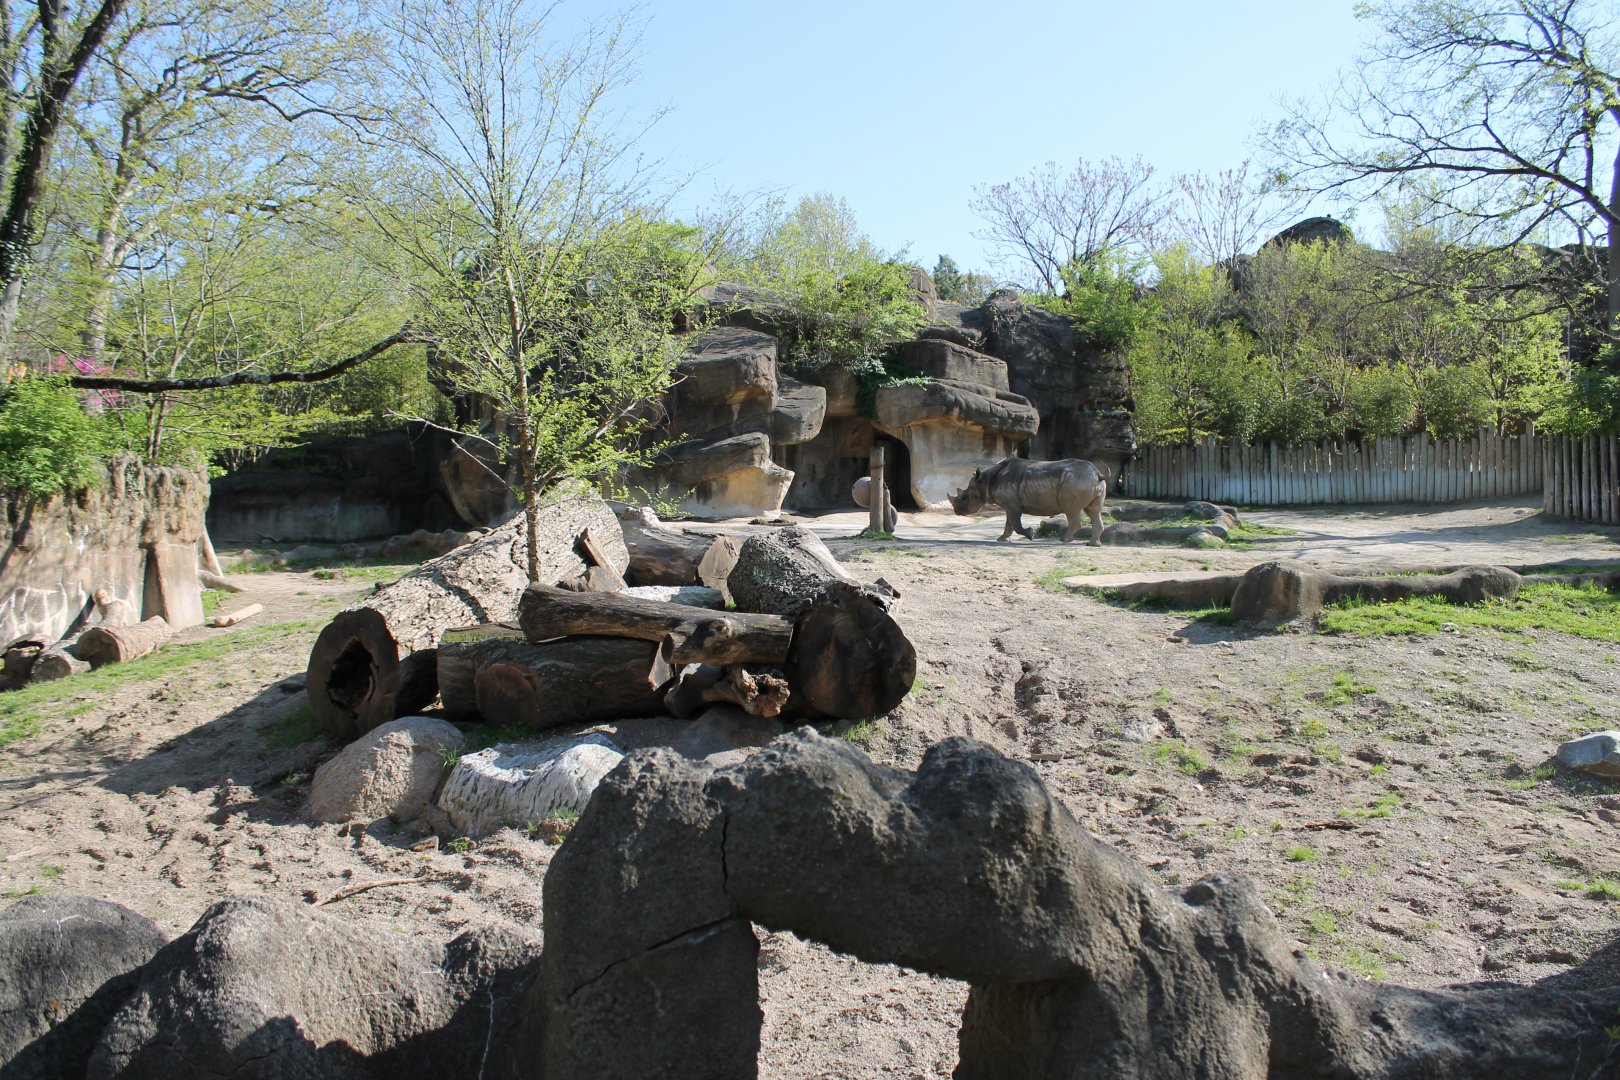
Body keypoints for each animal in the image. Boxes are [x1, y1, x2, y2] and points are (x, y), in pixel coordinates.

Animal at [948, 457, 1109, 545]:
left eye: (964, 498)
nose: (956, 511)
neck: (985, 481)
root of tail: (1097, 473)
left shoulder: (1013, 504)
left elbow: (1015, 524)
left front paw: (1030, 534)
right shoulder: (1010, 504)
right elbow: (1009, 524)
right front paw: (1002, 539)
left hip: (1076, 481)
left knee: (1072, 511)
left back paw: (1064, 540)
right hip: (1087, 480)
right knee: (1094, 511)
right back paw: (1093, 544)